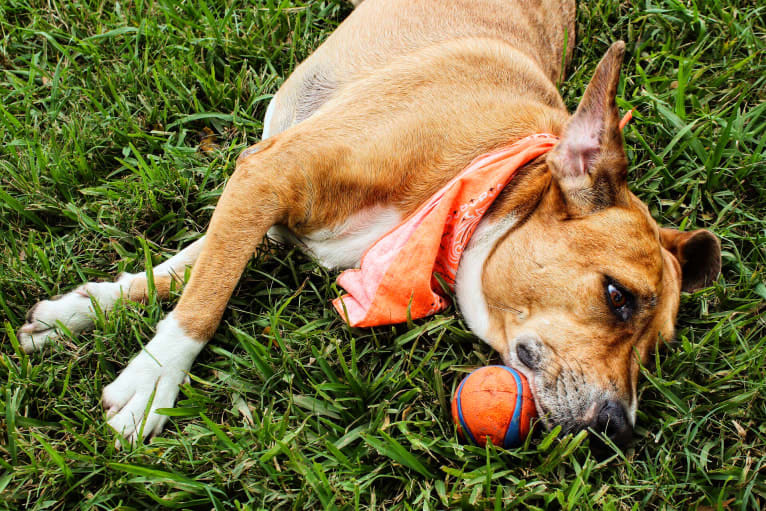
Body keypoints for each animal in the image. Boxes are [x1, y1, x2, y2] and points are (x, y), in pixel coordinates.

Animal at [19, 0, 728, 448]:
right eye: (617, 295)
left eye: (657, 350)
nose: (620, 429)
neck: (477, 181)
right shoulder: (269, 175)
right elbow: (204, 297)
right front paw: (151, 379)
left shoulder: (267, 212)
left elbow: (187, 270)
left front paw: (84, 311)